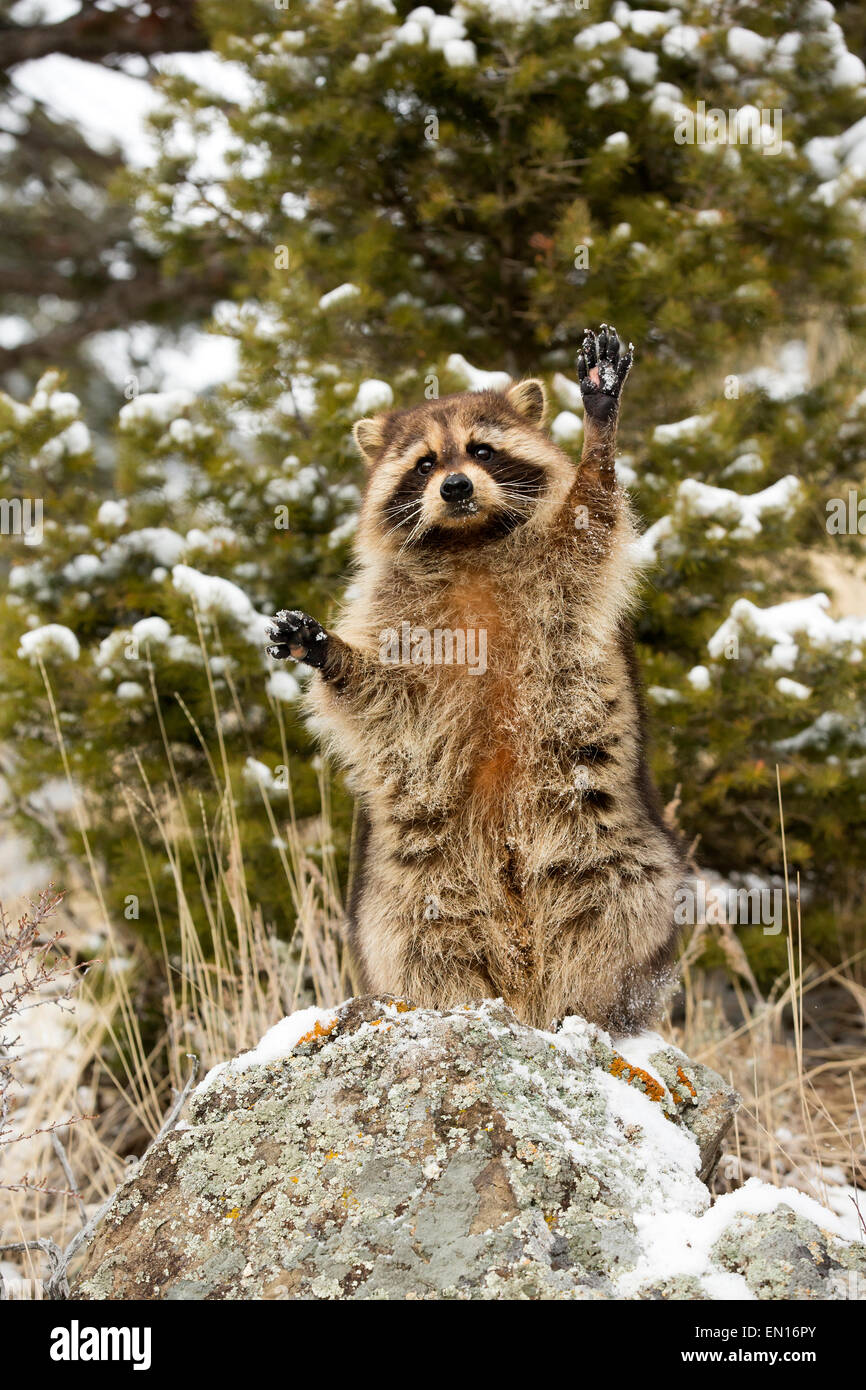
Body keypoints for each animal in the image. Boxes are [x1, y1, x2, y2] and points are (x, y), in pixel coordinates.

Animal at [268, 328, 686, 1034]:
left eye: (482, 450)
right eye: (424, 464)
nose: (457, 487)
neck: (467, 543)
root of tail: (523, 985)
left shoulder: (557, 576)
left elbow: (591, 521)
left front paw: (598, 430)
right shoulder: (397, 617)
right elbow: (383, 692)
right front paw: (328, 652)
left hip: (624, 861)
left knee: (613, 924)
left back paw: (591, 1014)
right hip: (402, 892)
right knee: (422, 944)